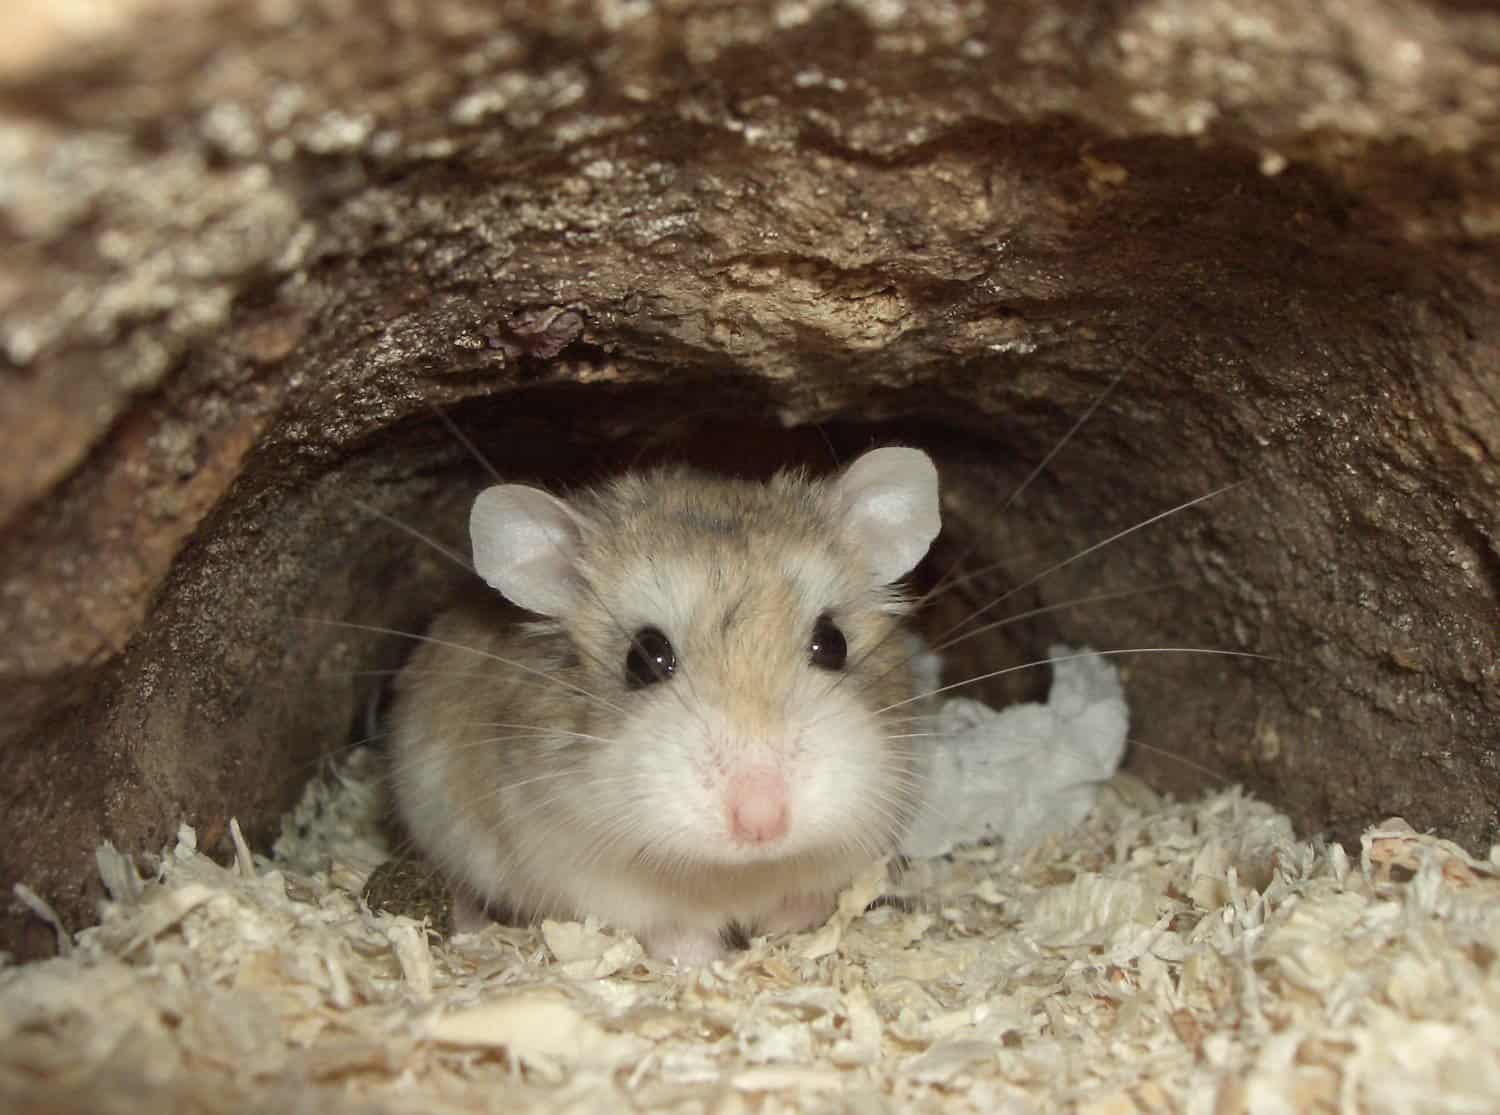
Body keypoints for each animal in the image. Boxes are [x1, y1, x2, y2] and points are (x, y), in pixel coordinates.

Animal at [387, 446, 941, 965]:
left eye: (833, 644)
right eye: (643, 658)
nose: (762, 822)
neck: (738, 873)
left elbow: (802, 903)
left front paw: (788, 932)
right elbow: (674, 932)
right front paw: (707, 962)